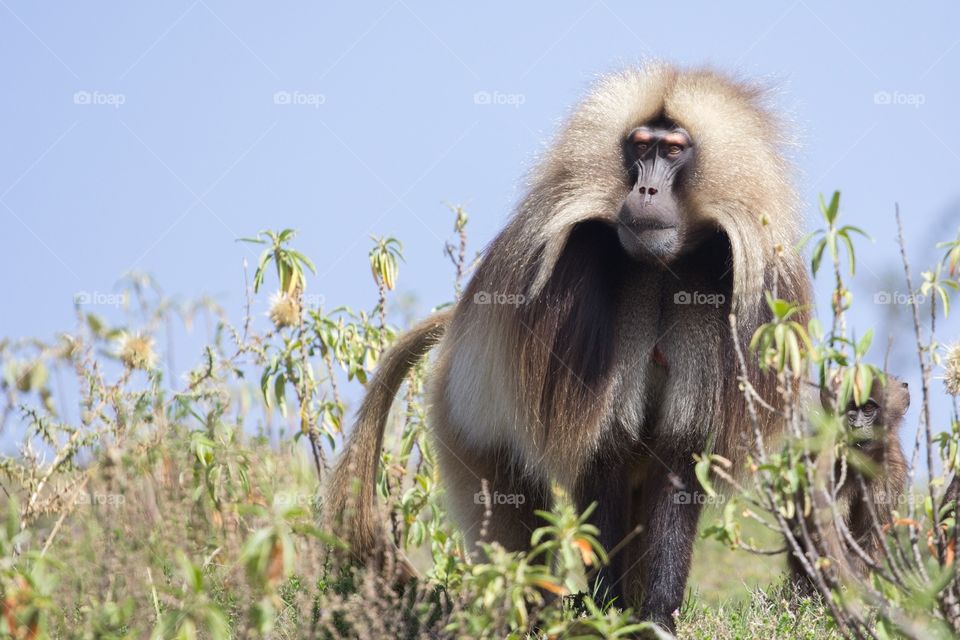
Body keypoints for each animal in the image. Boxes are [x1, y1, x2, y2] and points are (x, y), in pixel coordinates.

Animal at [325, 63, 811, 632]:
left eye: (673, 151)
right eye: (640, 146)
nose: (646, 189)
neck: (660, 267)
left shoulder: (719, 285)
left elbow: (677, 454)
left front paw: (654, 618)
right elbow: (603, 449)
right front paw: (607, 612)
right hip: (465, 428)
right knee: (514, 519)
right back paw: (530, 614)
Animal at [787, 376, 909, 594]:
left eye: (868, 408)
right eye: (851, 408)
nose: (856, 424)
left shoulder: (891, 471)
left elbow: (870, 536)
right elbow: (826, 530)